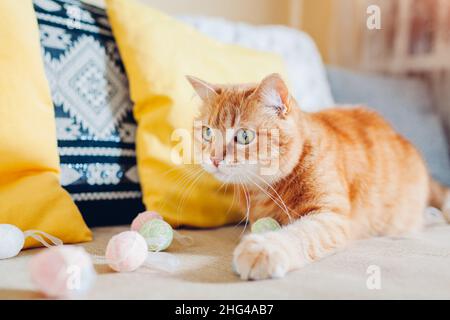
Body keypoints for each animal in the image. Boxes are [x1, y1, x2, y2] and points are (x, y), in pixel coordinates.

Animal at [186, 74, 450, 278]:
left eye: (243, 136)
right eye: (207, 133)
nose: (213, 158)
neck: (266, 190)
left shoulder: (330, 216)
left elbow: (300, 233)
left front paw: (265, 248)